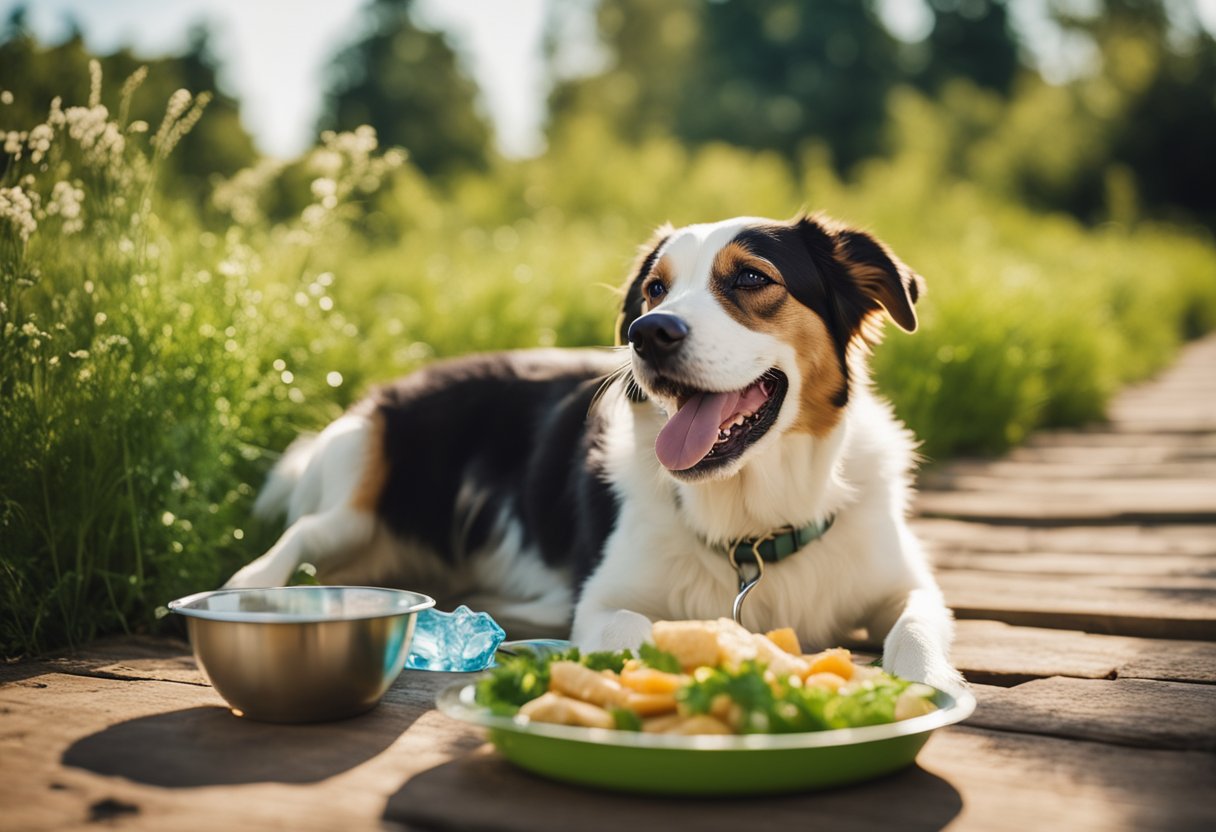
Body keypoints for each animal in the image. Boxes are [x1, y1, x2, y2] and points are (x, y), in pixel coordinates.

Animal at [228, 212, 963, 690]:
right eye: (655, 289)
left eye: (753, 279)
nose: (650, 332)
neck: (753, 519)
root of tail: (389, 389)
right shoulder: (604, 601)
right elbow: (641, 628)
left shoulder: (906, 586)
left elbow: (917, 627)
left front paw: (935, 684)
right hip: (359, 506)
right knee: (304, 531)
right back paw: (249, 584)